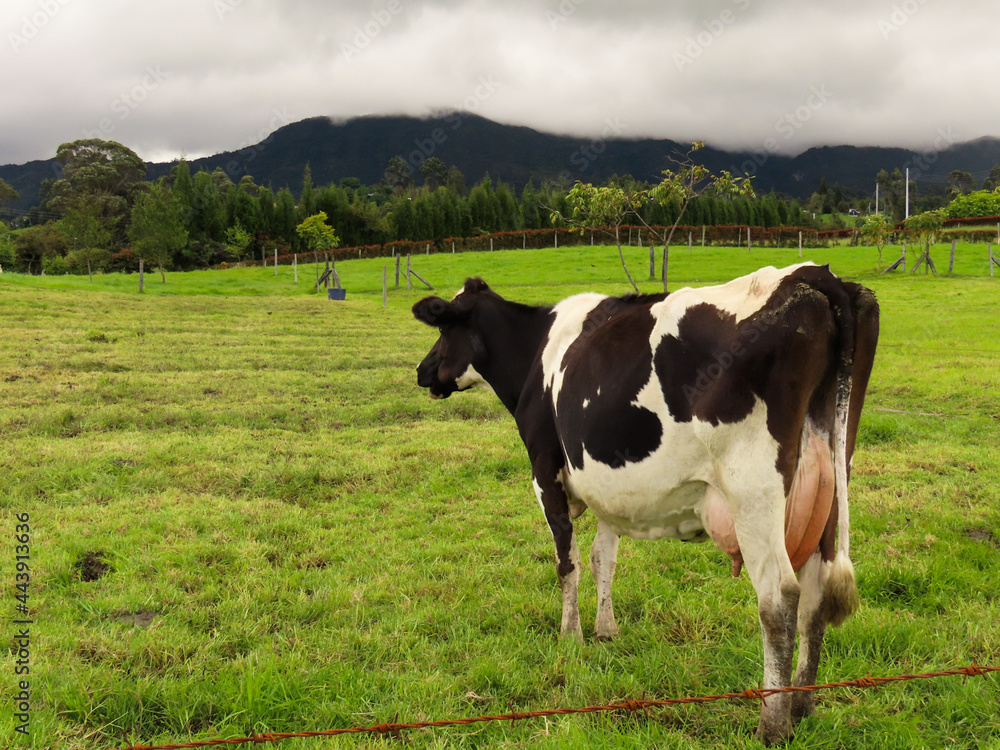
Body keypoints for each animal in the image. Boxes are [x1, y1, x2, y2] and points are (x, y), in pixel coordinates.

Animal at [412, 263, 879, 743]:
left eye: (444, 329)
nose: (422, 370)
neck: (535, 353)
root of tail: (809, 274)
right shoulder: (609, 489)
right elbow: (603, 558)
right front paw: (606, 630)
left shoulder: (544, 472)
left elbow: (568, 561)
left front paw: (571, 636)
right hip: (830, 478)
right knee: (816, 592)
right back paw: (803, 705)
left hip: (754, 489)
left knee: (779, 598)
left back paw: (772, 724)